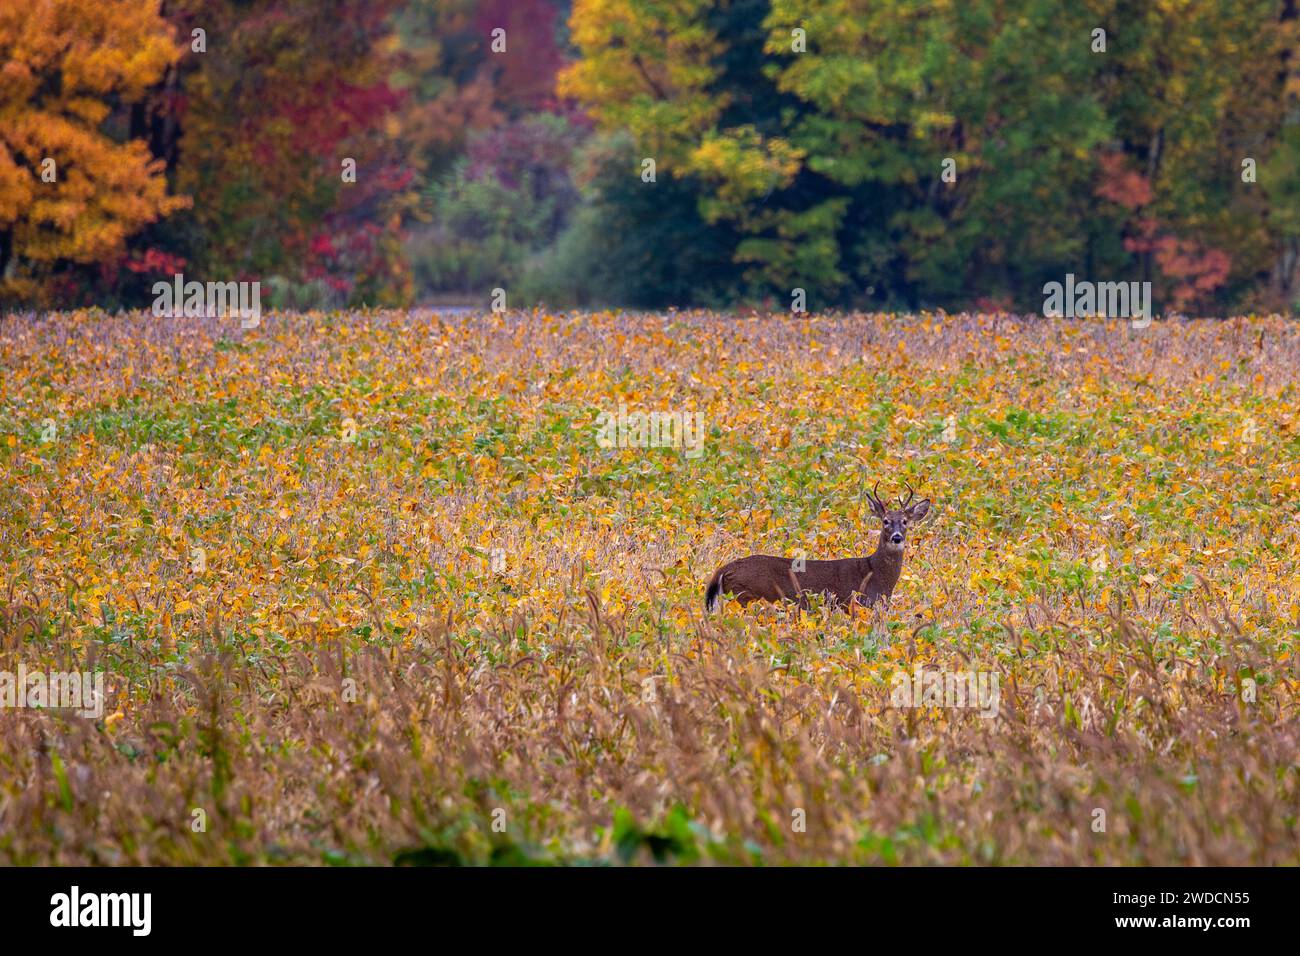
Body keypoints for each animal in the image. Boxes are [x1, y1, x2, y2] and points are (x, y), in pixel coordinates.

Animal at [704, 483, 931, 613]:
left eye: (905, 521)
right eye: (885, 521)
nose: (896, 537)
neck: (876, 575)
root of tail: (724, 570)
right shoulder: (857, 603)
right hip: (745, 597)